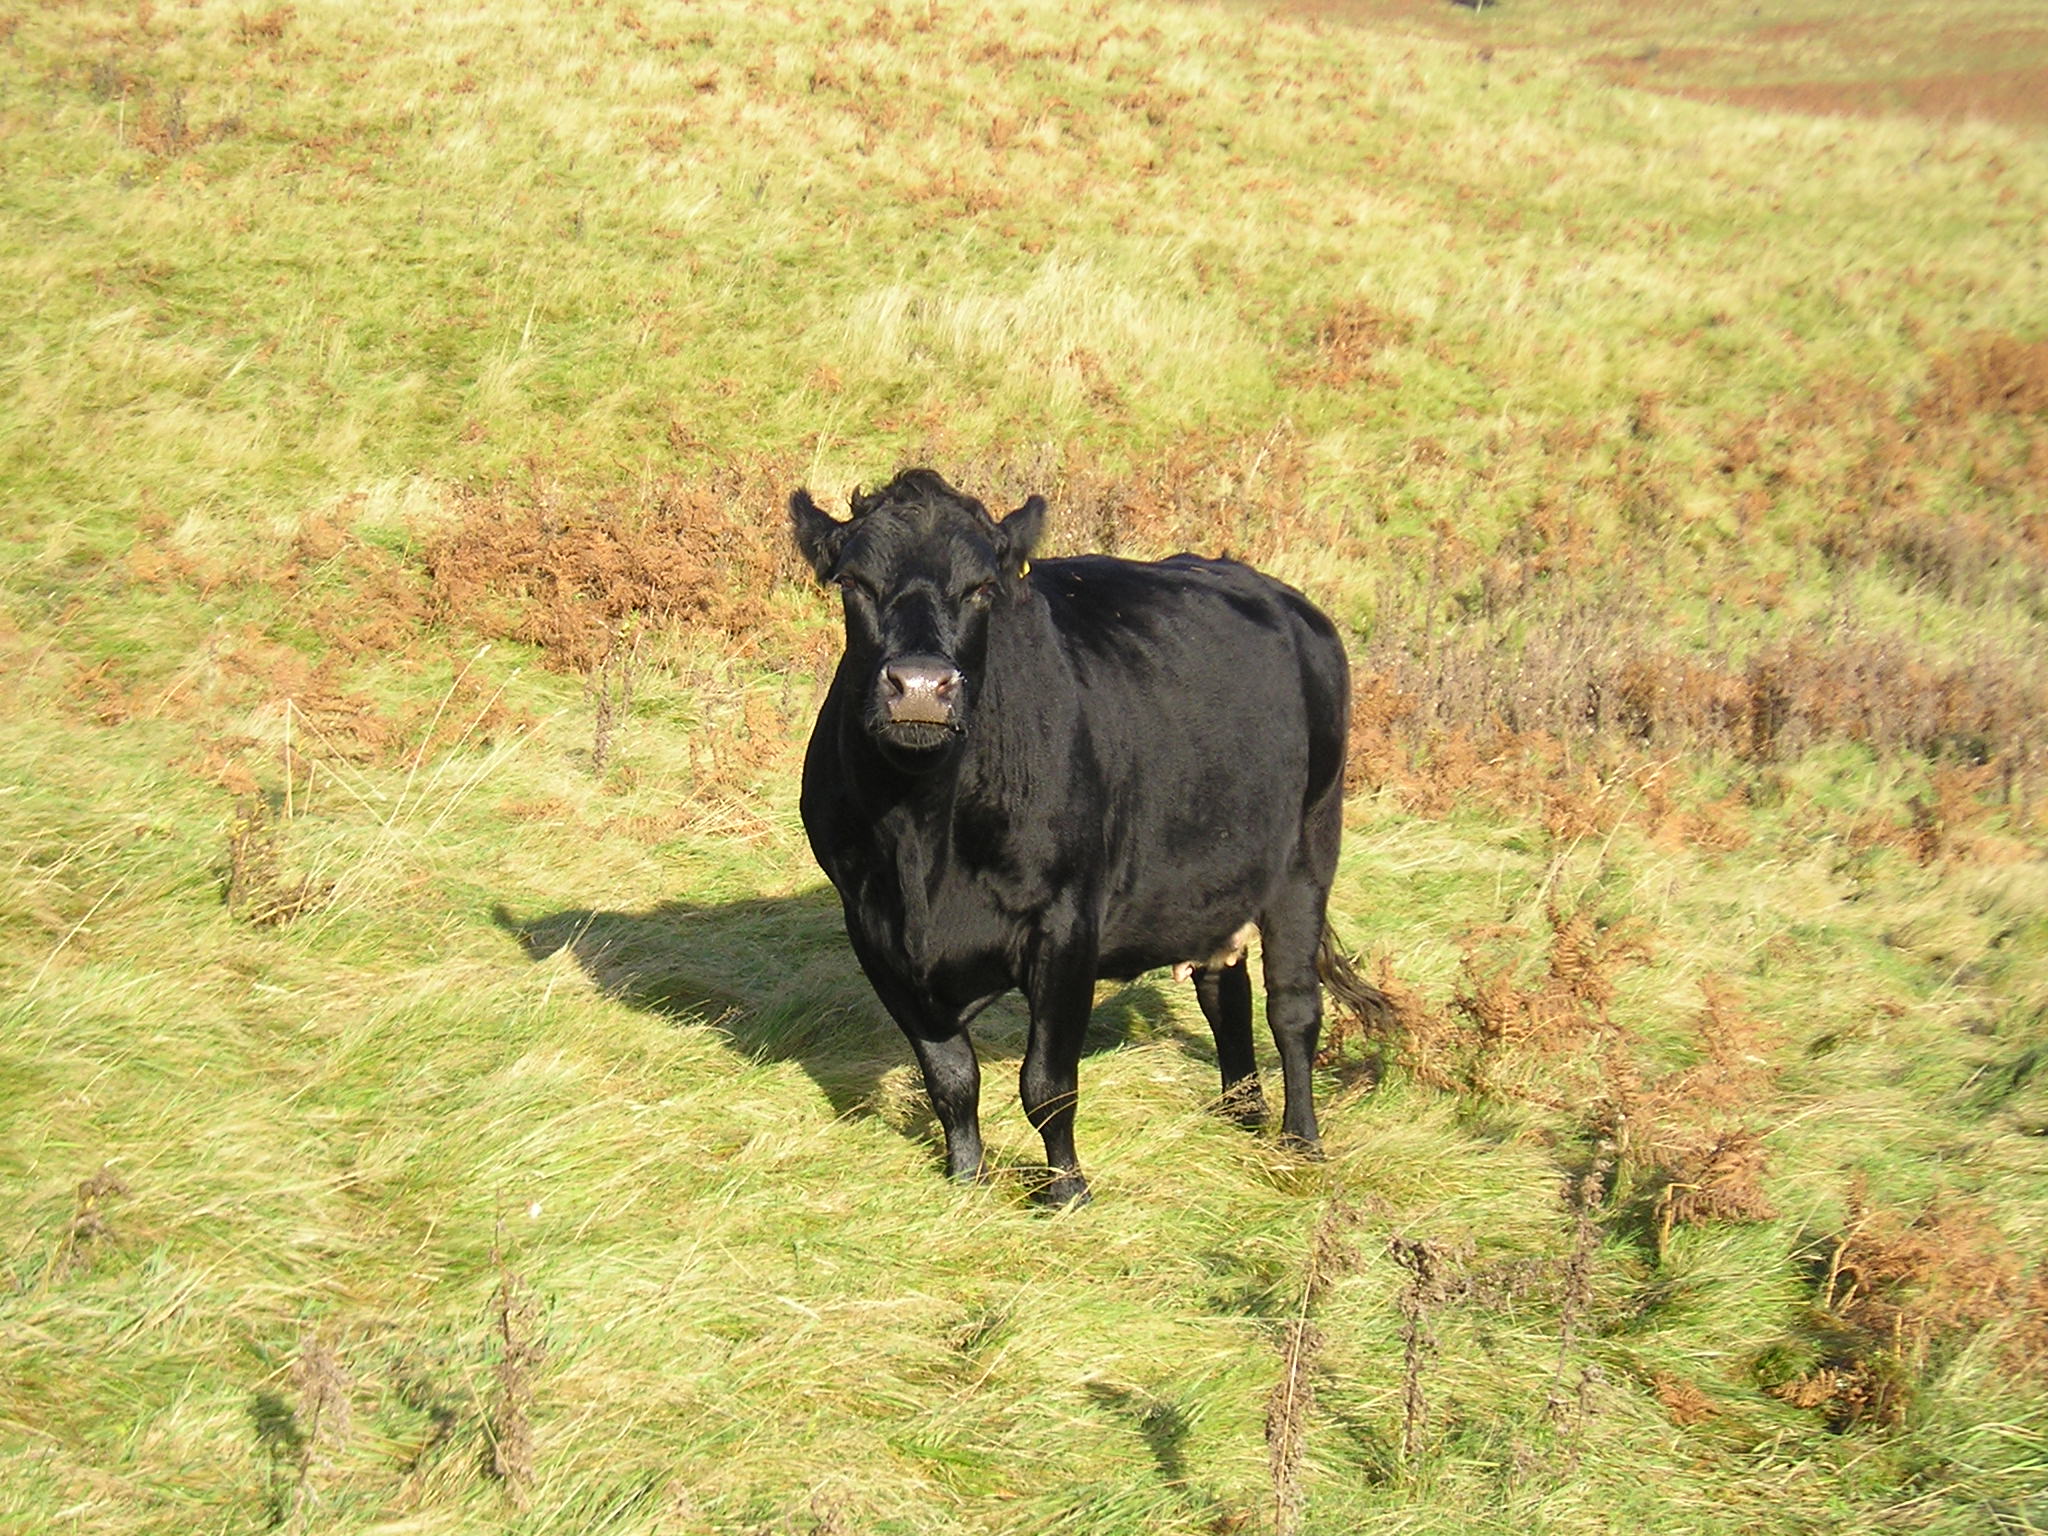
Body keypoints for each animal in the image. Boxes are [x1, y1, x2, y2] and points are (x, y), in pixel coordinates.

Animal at [791, 468, 1379, 1206]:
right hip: (1214, 878)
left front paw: (1066, 1190)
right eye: (854, 582)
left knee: (1294, 1009)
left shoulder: (1067, 921)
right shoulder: (874, 930)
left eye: (982, 587)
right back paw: (1240, 1108)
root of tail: (1286, 600)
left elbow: (1047, 1083)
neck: (922, 841)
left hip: (1309, 849)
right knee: (1225, 989)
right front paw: (965, 1181)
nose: (920, 686)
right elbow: (950, 1078)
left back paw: (1299, 1142)